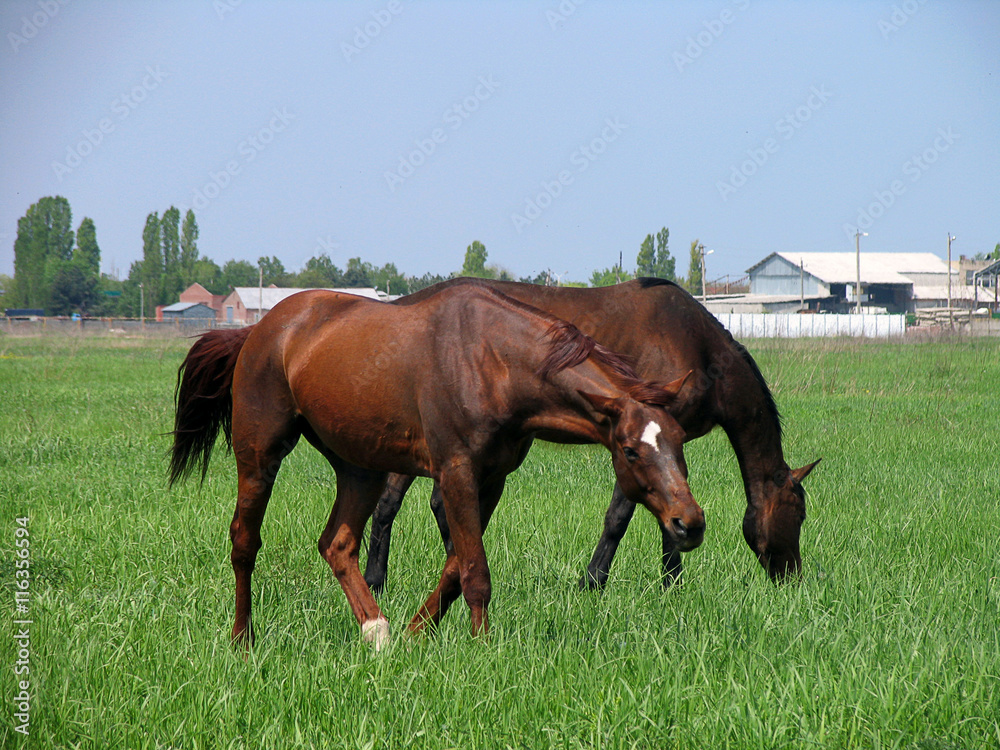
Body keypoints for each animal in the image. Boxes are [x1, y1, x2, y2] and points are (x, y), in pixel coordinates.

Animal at [169, 284, 704, 648]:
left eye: (679, 440)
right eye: (631, 450)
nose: (690, 523)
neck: (492, 361)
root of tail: (257, 331)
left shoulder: (491, 480)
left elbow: (455, 568)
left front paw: (414, 633)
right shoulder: (456, 472)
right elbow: (474, 571)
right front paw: (483, 649)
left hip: (359, 468)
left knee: (337, 544)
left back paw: (377, 632)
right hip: (260, 455)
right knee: (244, 541)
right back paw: (243, 640)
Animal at [365, 277, 819, 593]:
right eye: (799, 514)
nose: (794, 579)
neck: (699, 349)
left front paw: (669, 583)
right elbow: (620, 516)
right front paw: (598, 583)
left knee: (397, 504)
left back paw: (379, 578)